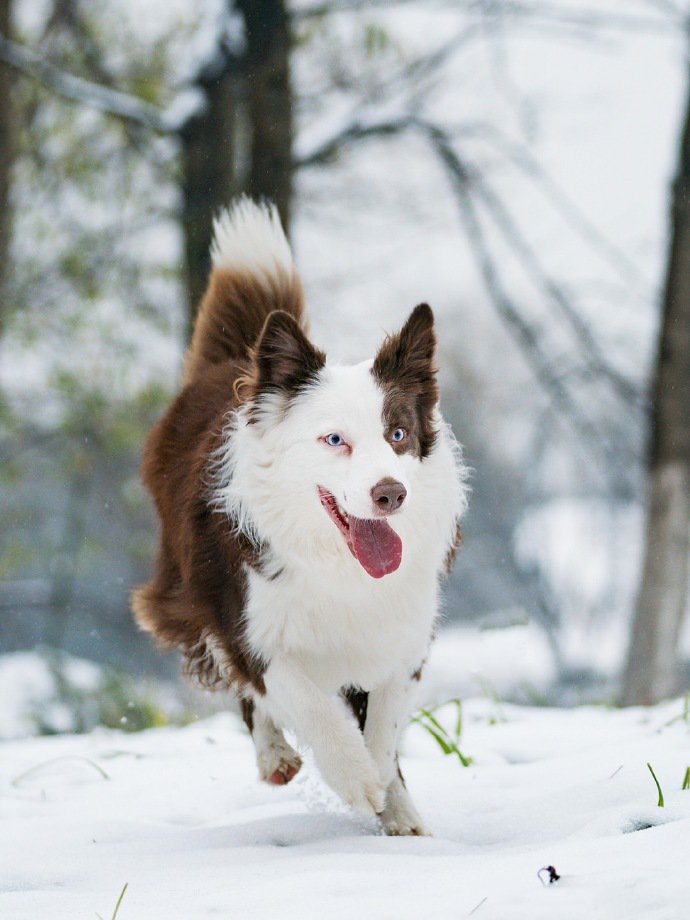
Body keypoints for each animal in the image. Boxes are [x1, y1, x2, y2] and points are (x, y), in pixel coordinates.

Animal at [133, 198, 468, 836]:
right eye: (334, 439)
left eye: (398, 434)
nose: (391, 494)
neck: (339, 563)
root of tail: (236, 363)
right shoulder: (248, 620)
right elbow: (299, 696)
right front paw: (355, 777)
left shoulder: (403, 632)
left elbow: (385, 723)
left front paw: (393, 801)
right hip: (188, 588)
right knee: (248, 692)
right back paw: (276, 756)